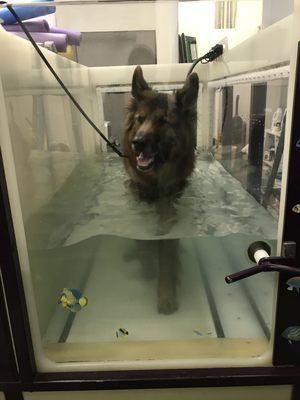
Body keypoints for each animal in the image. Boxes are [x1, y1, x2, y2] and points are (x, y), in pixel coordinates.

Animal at [123, 66, 198, 316]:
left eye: (164, 121)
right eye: (140, 119)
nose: (137, 142)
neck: (155, 183)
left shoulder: (169, 219)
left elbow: (166, 257)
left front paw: (166, 294)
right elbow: (141, 242)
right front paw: (146, 264)